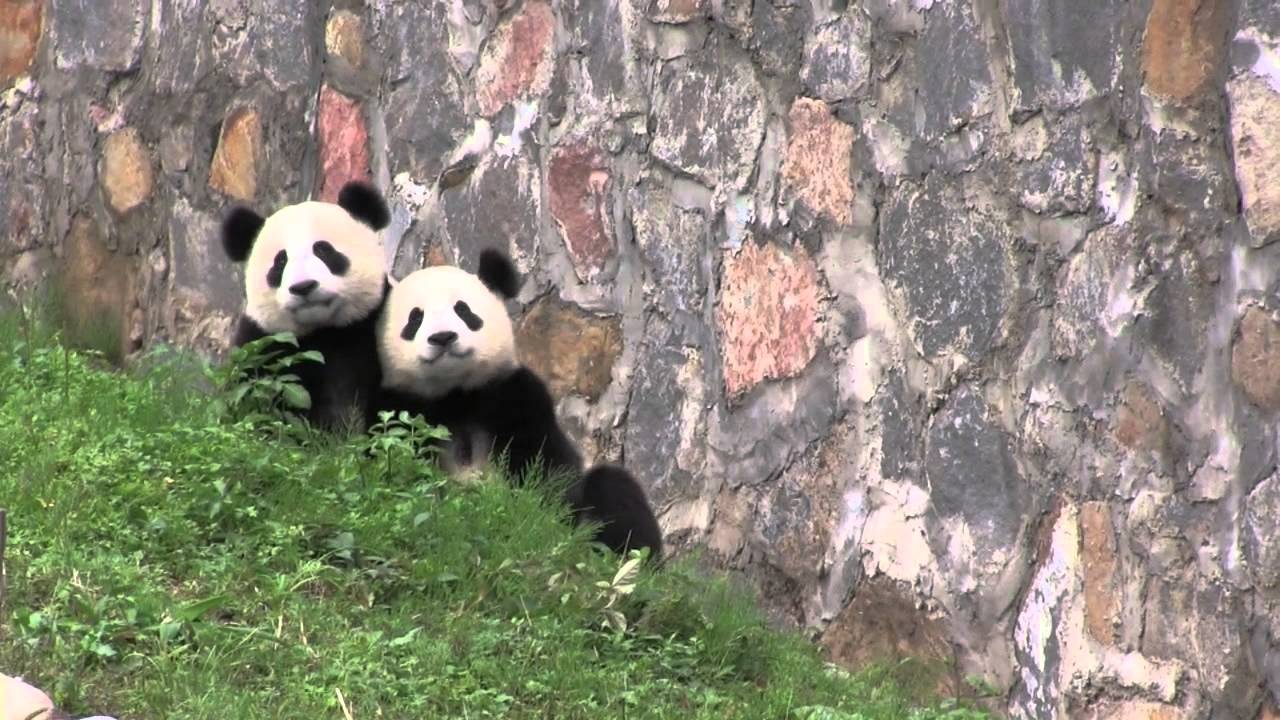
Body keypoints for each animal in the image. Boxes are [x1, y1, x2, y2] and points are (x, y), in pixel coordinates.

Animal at [220, 180, 391, 432]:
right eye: (280, 262)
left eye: (323, 250)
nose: (303, 286)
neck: (321, 330)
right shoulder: (261, 343)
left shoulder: (371, 327)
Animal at [370, 248, 663, 560]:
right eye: (415, 319)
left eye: (463, 311)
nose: (443, 337)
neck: (455, 394)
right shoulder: (399, 407)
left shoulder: (513, 395)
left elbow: (545, 465)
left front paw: (525, 514)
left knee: (614, 489)